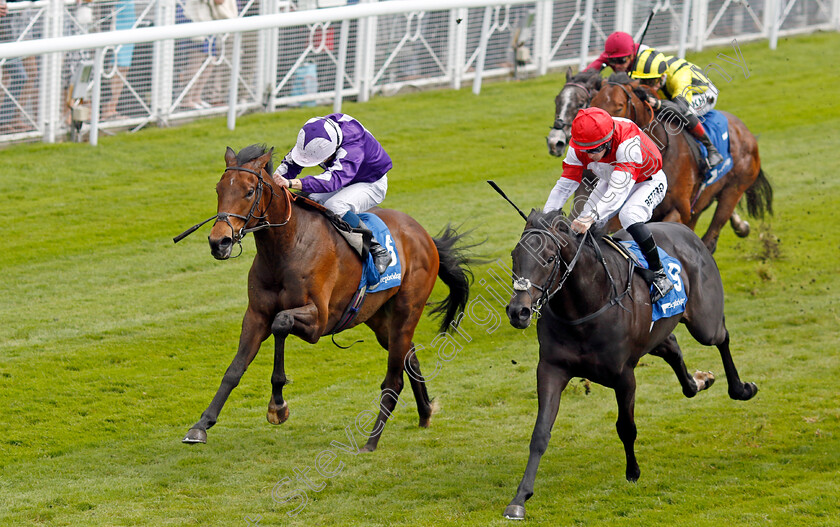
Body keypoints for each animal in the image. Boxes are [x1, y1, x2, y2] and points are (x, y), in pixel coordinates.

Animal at [180, 145, 476, 454]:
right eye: (218, 189)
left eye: (249, 191)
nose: (219, 242)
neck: (287, 246)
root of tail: (424, 236)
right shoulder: (256, 315)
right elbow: (235, 368)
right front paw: (201, 426)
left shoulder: (319, 320)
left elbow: (280, 322)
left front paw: (278, 405)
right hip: (380, 320)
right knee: (410, 358)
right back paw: (425, 412)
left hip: (408, 310)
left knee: (394, 379)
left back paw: (371, 441)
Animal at [502, 209, 756, 520]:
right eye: (515, 256)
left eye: (549, 258)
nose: (519, 311)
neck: (584, 308)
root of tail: (686, 231)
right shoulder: (551, 369)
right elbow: (540, 434)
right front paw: (520, 498)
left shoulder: (624, 376)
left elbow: (626, 427)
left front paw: (633, 472)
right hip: (658, 333)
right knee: (672, 347)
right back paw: (698, 381)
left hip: (704, 323)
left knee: (722, 337)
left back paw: (741, 388)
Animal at [592, 76, 776, 254]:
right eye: (594, 104)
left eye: (619, 107)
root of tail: (744, 130)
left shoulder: (679, 211)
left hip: (733, 191)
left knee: (711, 235)